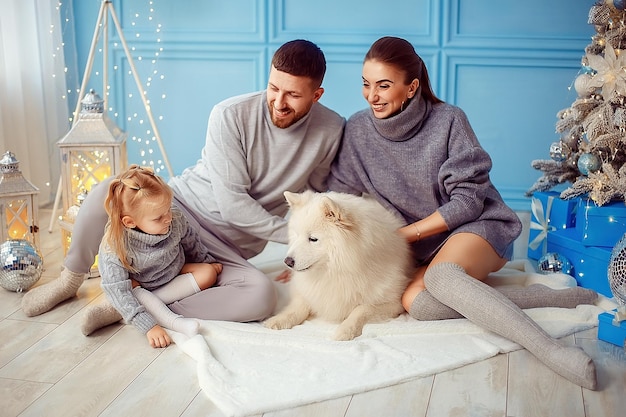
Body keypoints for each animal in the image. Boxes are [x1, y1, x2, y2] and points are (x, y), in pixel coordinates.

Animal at [264, 190, 414, 340]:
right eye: (296, 235)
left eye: (313, 239)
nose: (287, 261)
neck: (336, 271)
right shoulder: (309, 291)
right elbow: (298, 306)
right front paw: (279, 319)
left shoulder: (394, 302)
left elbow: (361, 309)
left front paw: (346, 329)